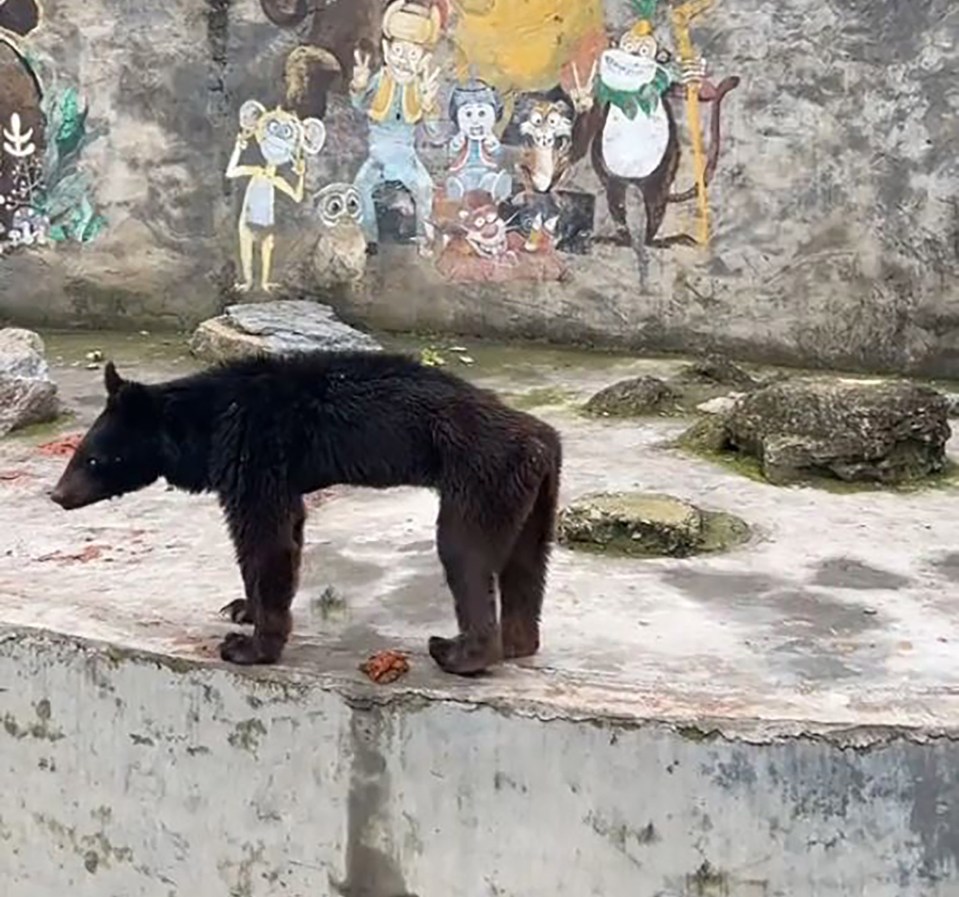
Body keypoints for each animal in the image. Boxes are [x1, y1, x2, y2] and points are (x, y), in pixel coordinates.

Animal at [50, 350, 564, 672]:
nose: (57, 495)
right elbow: (287, 532)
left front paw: (249, 646)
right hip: (533, 498)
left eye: (91, 458)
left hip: (481, 476)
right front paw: (241, 608)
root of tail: (542, 441)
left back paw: (460, 653)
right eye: (79, 453)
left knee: (464, 553)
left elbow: (265, 536)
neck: (204, 424)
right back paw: (518, 642)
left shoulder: (254, 449)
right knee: (525, 564)